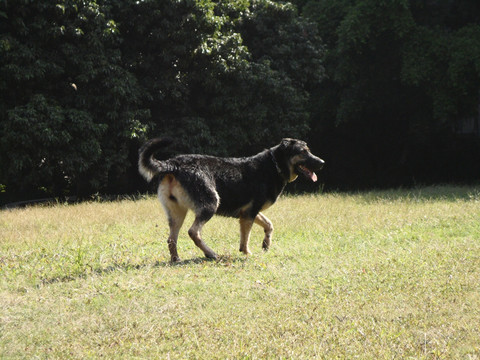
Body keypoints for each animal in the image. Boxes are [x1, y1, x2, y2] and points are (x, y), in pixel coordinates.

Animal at [139, 138, 326, 262]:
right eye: (303, 152)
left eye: (308, 150)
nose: (323, 162)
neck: (275, 165)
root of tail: (173, 164)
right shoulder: (249, 214)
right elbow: (245, 239)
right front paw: (247, 253)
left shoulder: (248, 213)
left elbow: (269, 225)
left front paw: (266, 244)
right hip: (211, 204)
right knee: (193, 232)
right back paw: (211, 253)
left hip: (177, 213)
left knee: (172, 239)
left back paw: (176, 259)